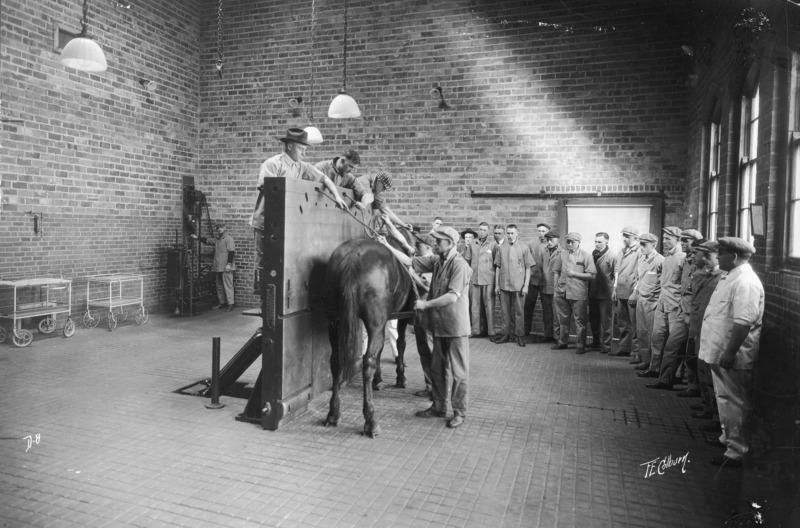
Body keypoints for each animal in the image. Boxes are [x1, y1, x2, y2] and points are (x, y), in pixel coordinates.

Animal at [322, 223, 418, 438]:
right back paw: (370, 420)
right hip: (375, 323)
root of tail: (353, 257)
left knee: (336, 360)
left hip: (334, 321)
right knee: (368, 361)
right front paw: (400, 377)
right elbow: (400, 343)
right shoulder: (397, 317)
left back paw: (333, 413)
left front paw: (379, 380)